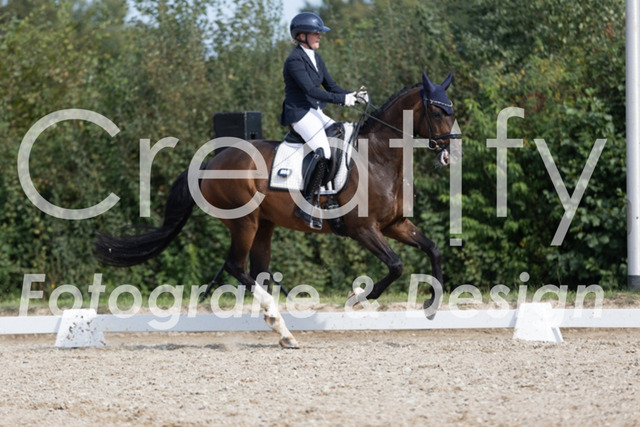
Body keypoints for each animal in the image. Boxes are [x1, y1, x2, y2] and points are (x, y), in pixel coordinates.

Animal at [94, 71, 460, 348]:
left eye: (452, 110)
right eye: (437, 113)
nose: (450, 155)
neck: (380, 159)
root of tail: (212, 160)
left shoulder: (395, 224)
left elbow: (433, 249)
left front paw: (431, 305)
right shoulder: (363, 229)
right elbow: (396, 265)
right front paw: (356, 298)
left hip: (265, 225)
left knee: (257, 271)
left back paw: (283, 332)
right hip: (244, 222)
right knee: (237, 267)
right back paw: (277, 321)